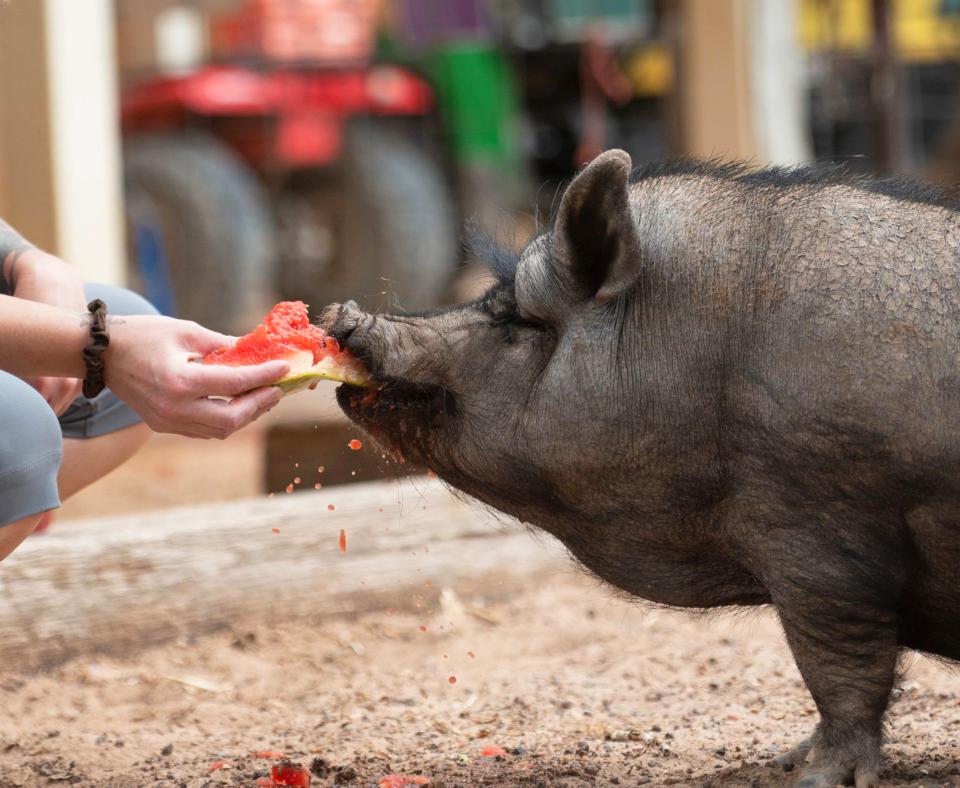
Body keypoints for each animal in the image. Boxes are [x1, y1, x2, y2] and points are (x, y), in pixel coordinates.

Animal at [322, 151, 960, 784]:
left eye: (516, 319)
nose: (343, 314)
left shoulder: (818, 531)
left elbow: (839, 667)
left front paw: (813, 776)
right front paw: (787, 760)